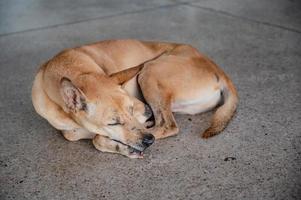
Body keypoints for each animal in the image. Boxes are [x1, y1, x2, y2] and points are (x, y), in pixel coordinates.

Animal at [30, 38, 237, 158]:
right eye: (113, 122)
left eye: (131, 110)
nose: (148, 141)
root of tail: (219, 70)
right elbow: (71, 134)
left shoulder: (139, 106)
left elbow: (96, 139)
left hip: (149, 71)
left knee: (168, 126)